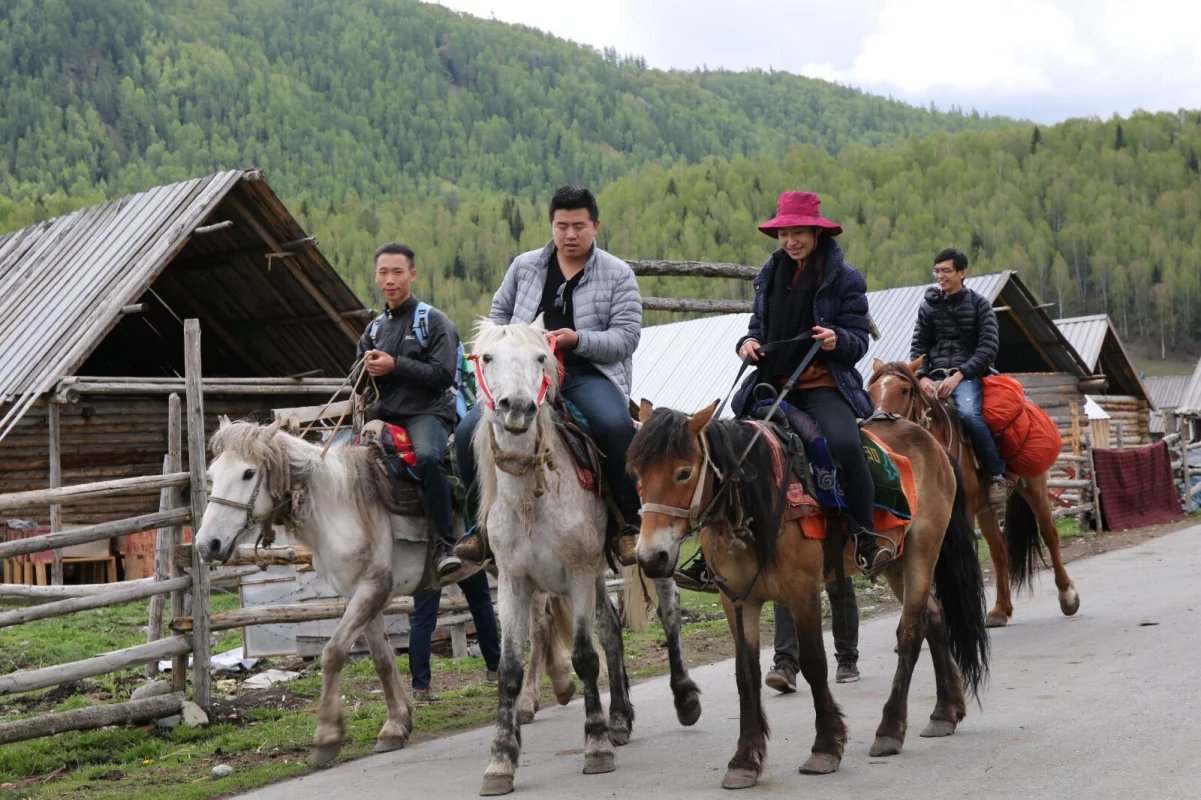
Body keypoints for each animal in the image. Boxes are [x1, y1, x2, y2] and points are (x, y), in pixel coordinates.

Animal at [195, 418, 571, 759]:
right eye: (211, 475)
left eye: (248, 473)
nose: (207, 545)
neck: (339, 505)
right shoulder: (360, 594)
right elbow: (382, 659)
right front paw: (396, 725)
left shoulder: (372, 588)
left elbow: (333, 653)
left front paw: (328, 736)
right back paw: (561, 682)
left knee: (539, 628)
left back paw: (529, 700)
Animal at [470, 317, 701, 792]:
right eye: (487, 357)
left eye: (542, 356)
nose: (517, 407)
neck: (530, 496)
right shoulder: (514, 583)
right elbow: (509, 669)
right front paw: (501, 760)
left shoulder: (576, 573)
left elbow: (584, 657)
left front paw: (595, 746)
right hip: (595, 574)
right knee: (611, 628)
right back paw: (620, 720)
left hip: (655, 550)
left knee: (668, 611)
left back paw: (684, 697)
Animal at [629, 396, 984, 783]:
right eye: (637, 475)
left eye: (683, 472)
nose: (651, 557)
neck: (757, 505)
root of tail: (932, 443)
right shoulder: (737, 600)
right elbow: (745, 672)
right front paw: (745, 759)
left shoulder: (802, 591)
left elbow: (815, 663)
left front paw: (826, 746)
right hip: (895, 562)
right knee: (933, 615)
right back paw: (945, 711)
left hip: (923, 548)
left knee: (911, 630)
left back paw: (890, 728)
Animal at [869, 355, 1085, 629]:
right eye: (872, 390)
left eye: (904, 390)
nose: (879, 424)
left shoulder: (964, 513)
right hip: (986, 508)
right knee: (999, 548)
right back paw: (1001, 610)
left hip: (1034, 486)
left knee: (1049, 533)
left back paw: (1068, 596)